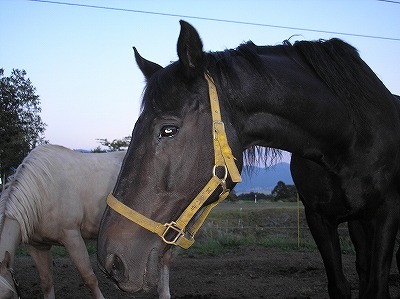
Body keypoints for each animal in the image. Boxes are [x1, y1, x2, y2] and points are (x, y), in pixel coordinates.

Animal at [0, 144, 170, 298]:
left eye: (8, 295)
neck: (41, 191)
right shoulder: (36, 246)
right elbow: (46, 282)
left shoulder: (72, 237)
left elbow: (89, 278)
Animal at [97, 19, 400, 298]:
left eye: (168, 130)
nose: (111, 261)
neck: (348, 137)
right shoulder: (318, 217)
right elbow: (341, 285)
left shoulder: (386, 213)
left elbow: (377, 286)